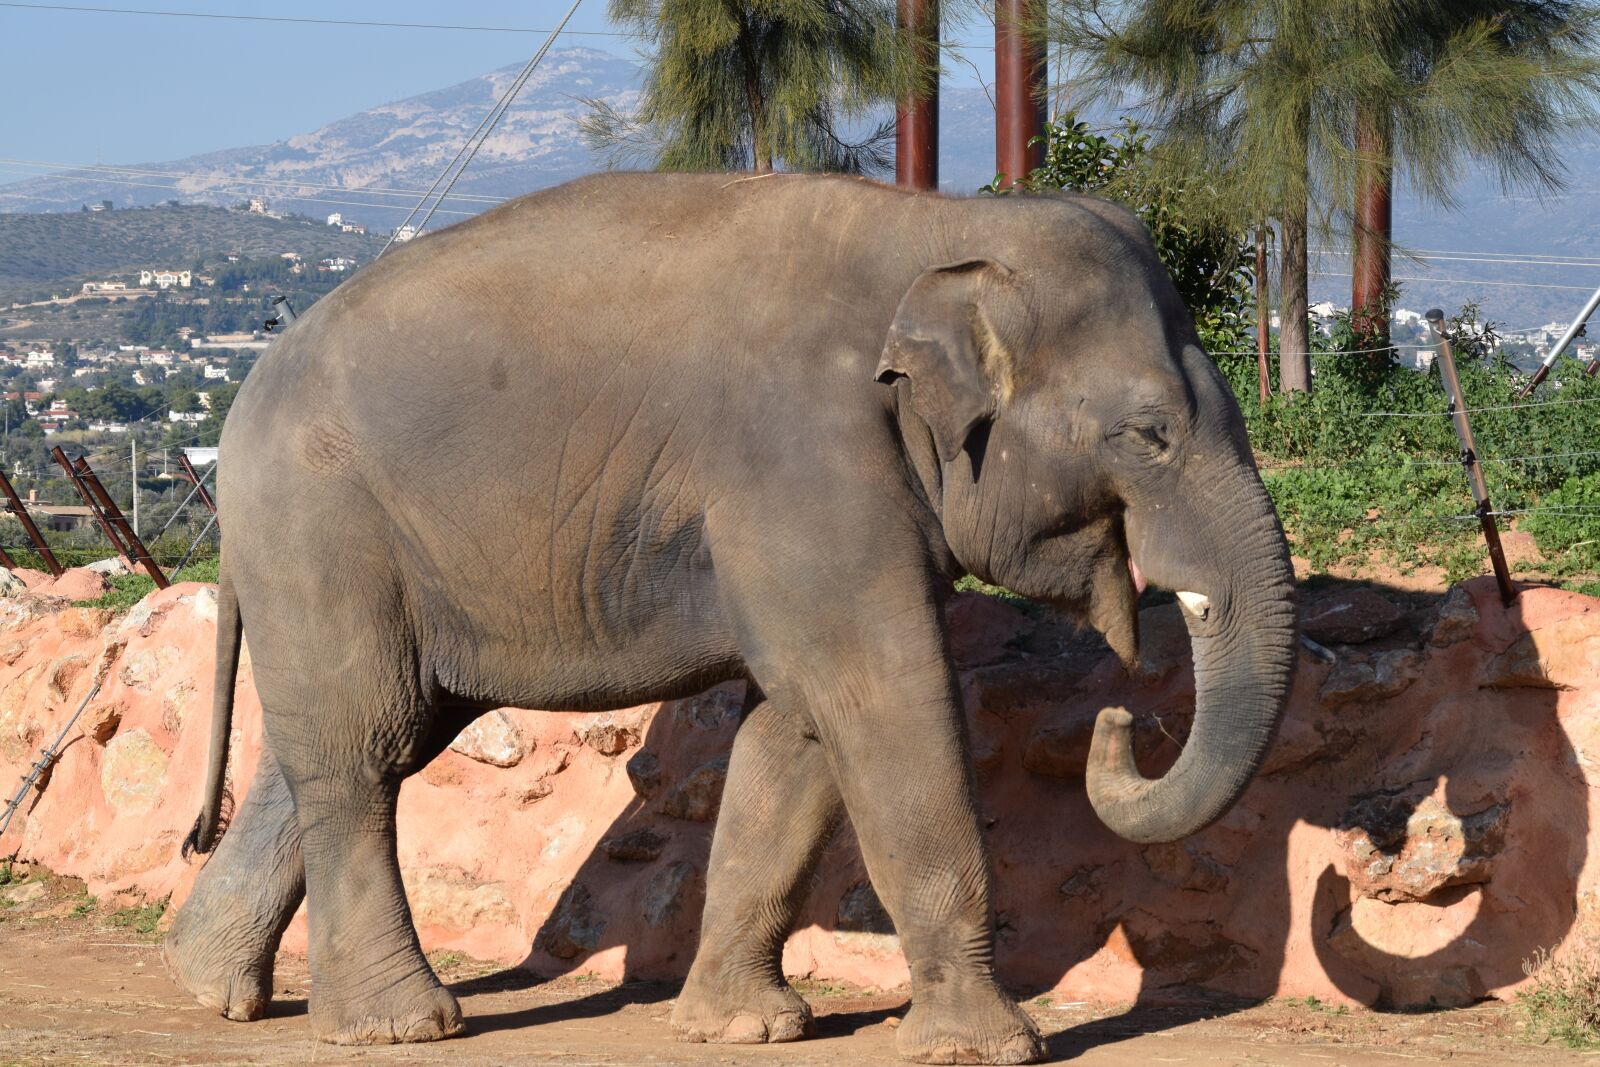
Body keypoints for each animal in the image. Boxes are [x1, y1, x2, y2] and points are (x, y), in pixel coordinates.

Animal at [161, 171, 1297, 1065]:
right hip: (325, 526)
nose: (1124, 718)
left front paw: (744, 1028)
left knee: (363, 739)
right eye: (1149, 434)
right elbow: (880, 698)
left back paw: (206, 984)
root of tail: (244, 399)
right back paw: (400, 1025)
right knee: (368, 744)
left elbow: (795, 729)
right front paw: (987, 1046)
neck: (942, 226)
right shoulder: (803, 456)